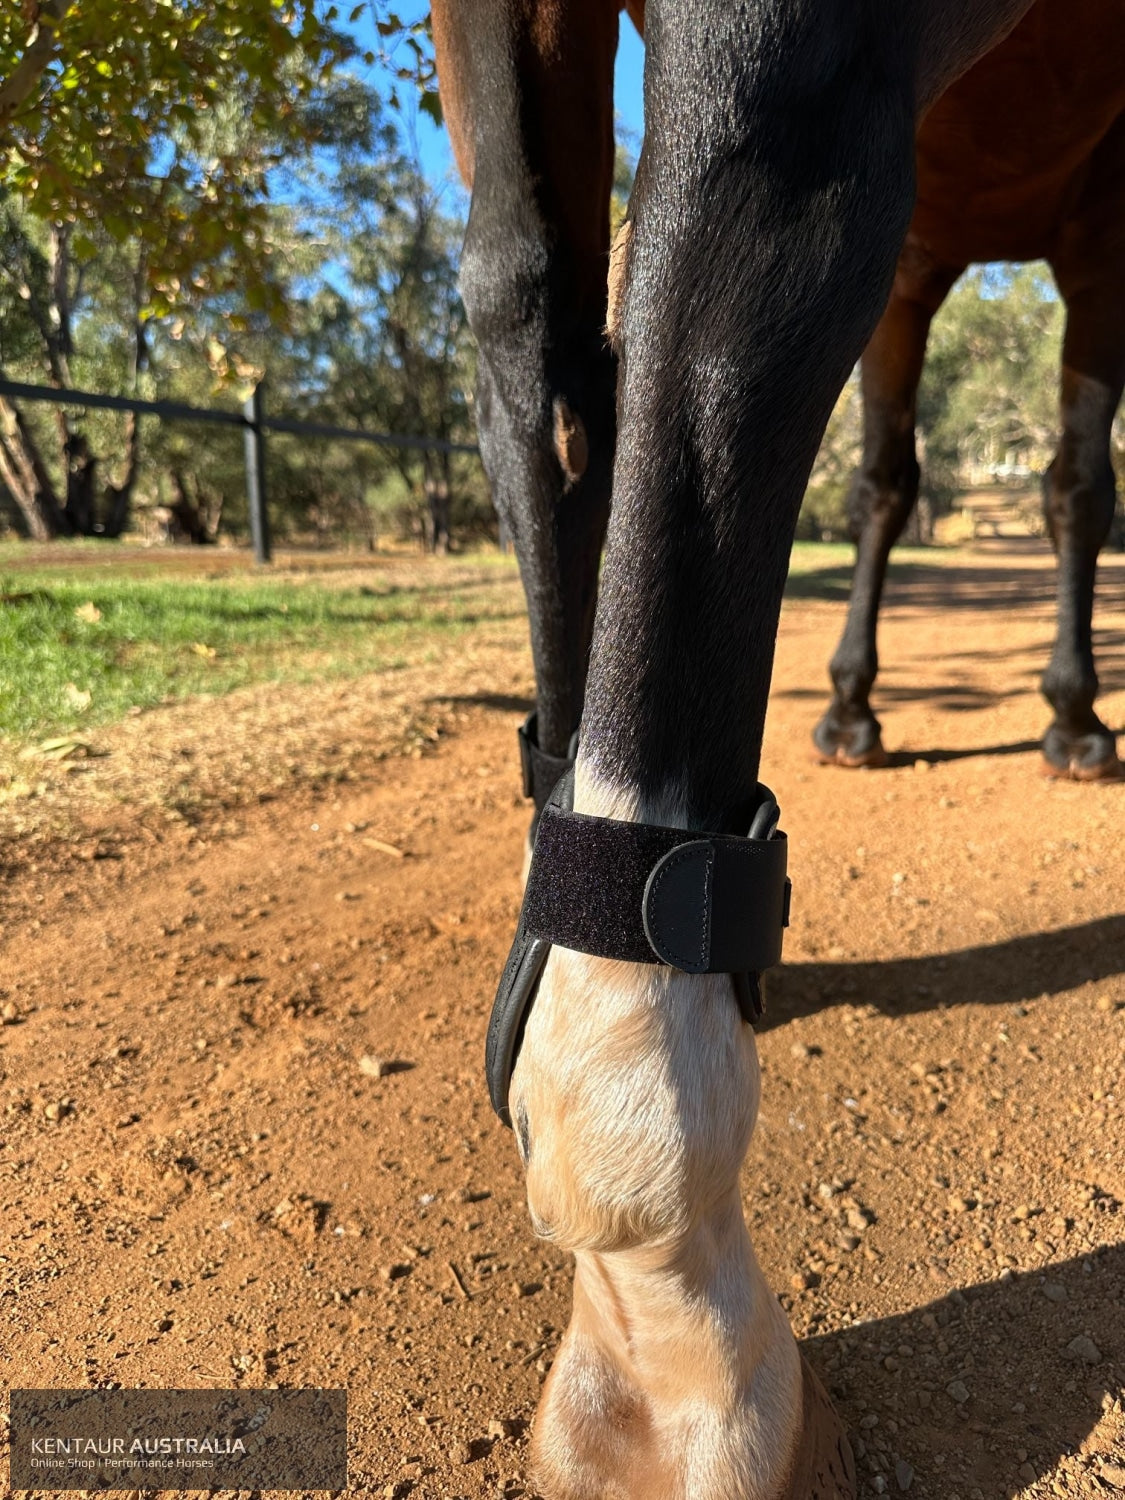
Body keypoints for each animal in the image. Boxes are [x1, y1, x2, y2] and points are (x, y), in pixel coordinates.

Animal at [816, 8, 1125, 786]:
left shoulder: (1104, 254)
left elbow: (1079, 489)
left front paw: (1074, 717)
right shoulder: (905, 268)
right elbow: (882, 485)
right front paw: (848, 709)